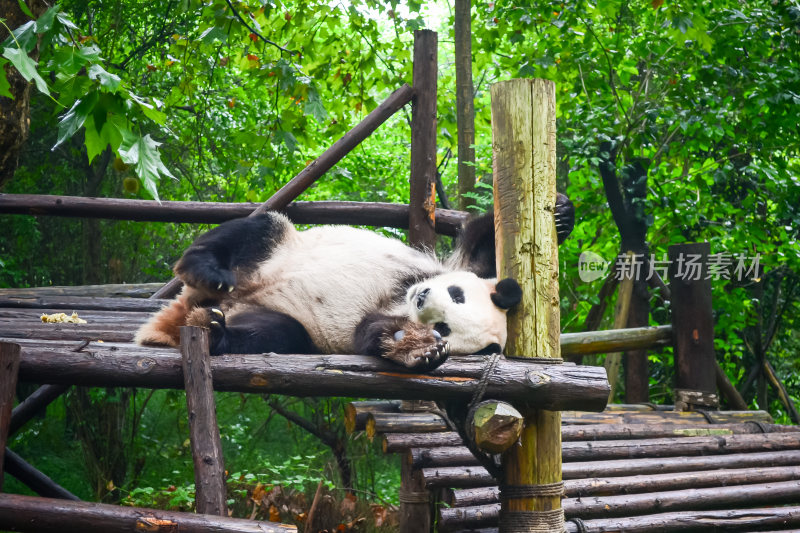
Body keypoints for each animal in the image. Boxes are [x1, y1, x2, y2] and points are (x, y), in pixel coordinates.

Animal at [134, 192, 572, 370]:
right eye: (456, 294)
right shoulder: (443, 266)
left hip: (272, 316)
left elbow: (371, 333)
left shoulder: (382, 316)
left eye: (444, 326)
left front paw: (417, 350)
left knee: (278, 332)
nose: (422, 298)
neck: (400, 296)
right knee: (257, 230)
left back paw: (216, 332)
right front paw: (560, 213)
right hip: (276, 248)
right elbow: (480, 248)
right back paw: (208, 270)